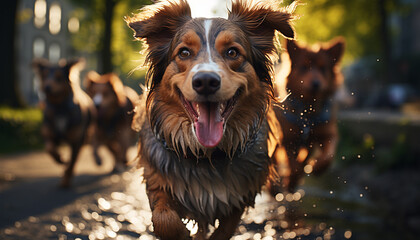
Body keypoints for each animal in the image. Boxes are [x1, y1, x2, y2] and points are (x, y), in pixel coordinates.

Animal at [32, 58, 96, 188]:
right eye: (45, 75)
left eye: (59, 77)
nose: (47, 87)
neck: (60, 107)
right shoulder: (50, 133)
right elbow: (49, 148)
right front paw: (60, 159)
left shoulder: (76, 141)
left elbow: (71, 163)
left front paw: (66, 180)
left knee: (75, 158)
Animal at [126, 0, 294, 239]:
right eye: (184, 52)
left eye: (232, 52)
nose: (205, 81)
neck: (206, 154)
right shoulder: (156, 180)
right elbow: (164, 219)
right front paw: (182, 234)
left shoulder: (241, 194)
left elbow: (225, 229)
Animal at [272, 38, 344, 193]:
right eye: (304, 67)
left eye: (323, 68)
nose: (316, 83)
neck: (308, 112)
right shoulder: (288, 138)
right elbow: (294, 165)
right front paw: (291, 180)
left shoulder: (326, 134)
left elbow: (327, 155)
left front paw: (317, 168)